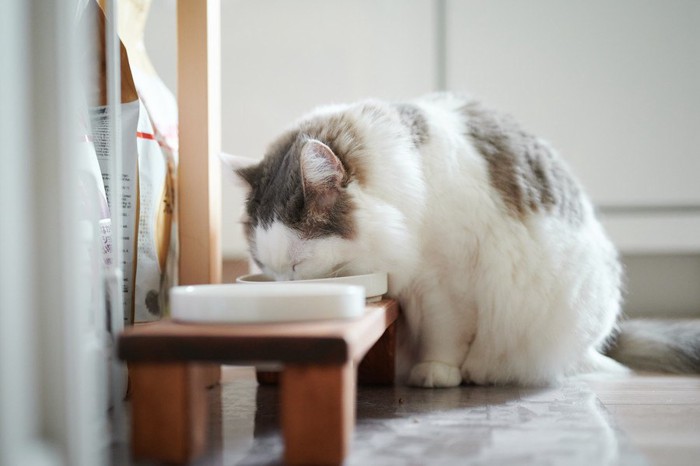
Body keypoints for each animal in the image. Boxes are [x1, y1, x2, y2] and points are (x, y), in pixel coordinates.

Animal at [223, 93, 700, 388]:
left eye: (297, 267)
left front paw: (436, 372)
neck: (409, 187)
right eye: (268, 270)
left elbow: (444, 333)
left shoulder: (444, 281)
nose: (285, 290)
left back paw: (484, 372)